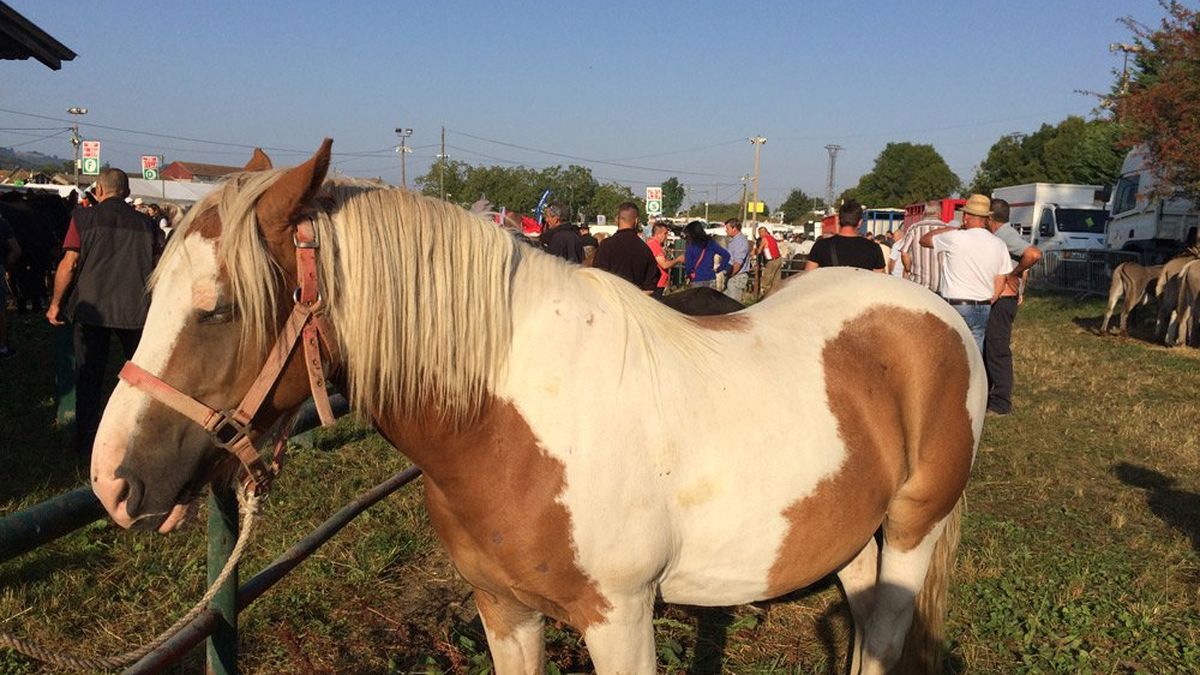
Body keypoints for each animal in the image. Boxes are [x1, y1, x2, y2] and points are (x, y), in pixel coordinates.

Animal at [87, 141, 984, 672]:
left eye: (219, 307)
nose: (111, 481)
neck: (512, 420)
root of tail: (932, 316)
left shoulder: (620, 617)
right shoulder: (504, 607)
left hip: (915, 529)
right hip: (854, 537)